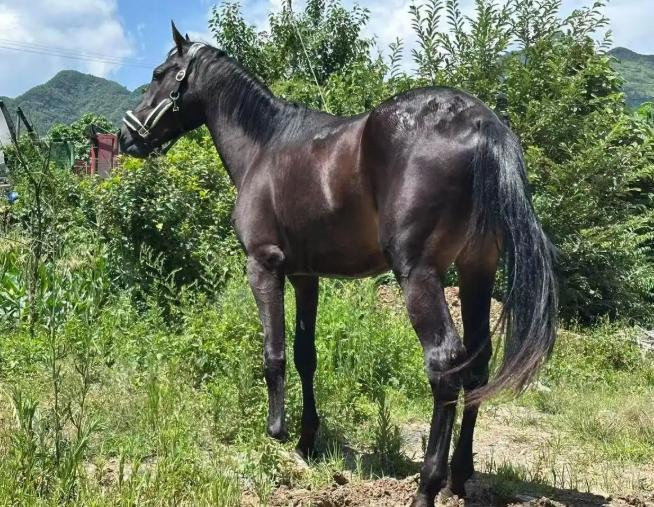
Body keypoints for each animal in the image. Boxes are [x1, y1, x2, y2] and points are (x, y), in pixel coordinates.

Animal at [118, 23, 557, 507]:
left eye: (160, 74)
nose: (126, 137)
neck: (264, 146)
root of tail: (482, 124)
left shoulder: (263, 268)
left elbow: (273, 353)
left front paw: (276, 431)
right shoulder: (305, 277)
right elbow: (304, 354)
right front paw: (307, 438)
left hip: (420, 276)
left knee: (445, 367)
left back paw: (427, 486)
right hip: (478, 270)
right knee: (477, 366)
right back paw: (460, 475)